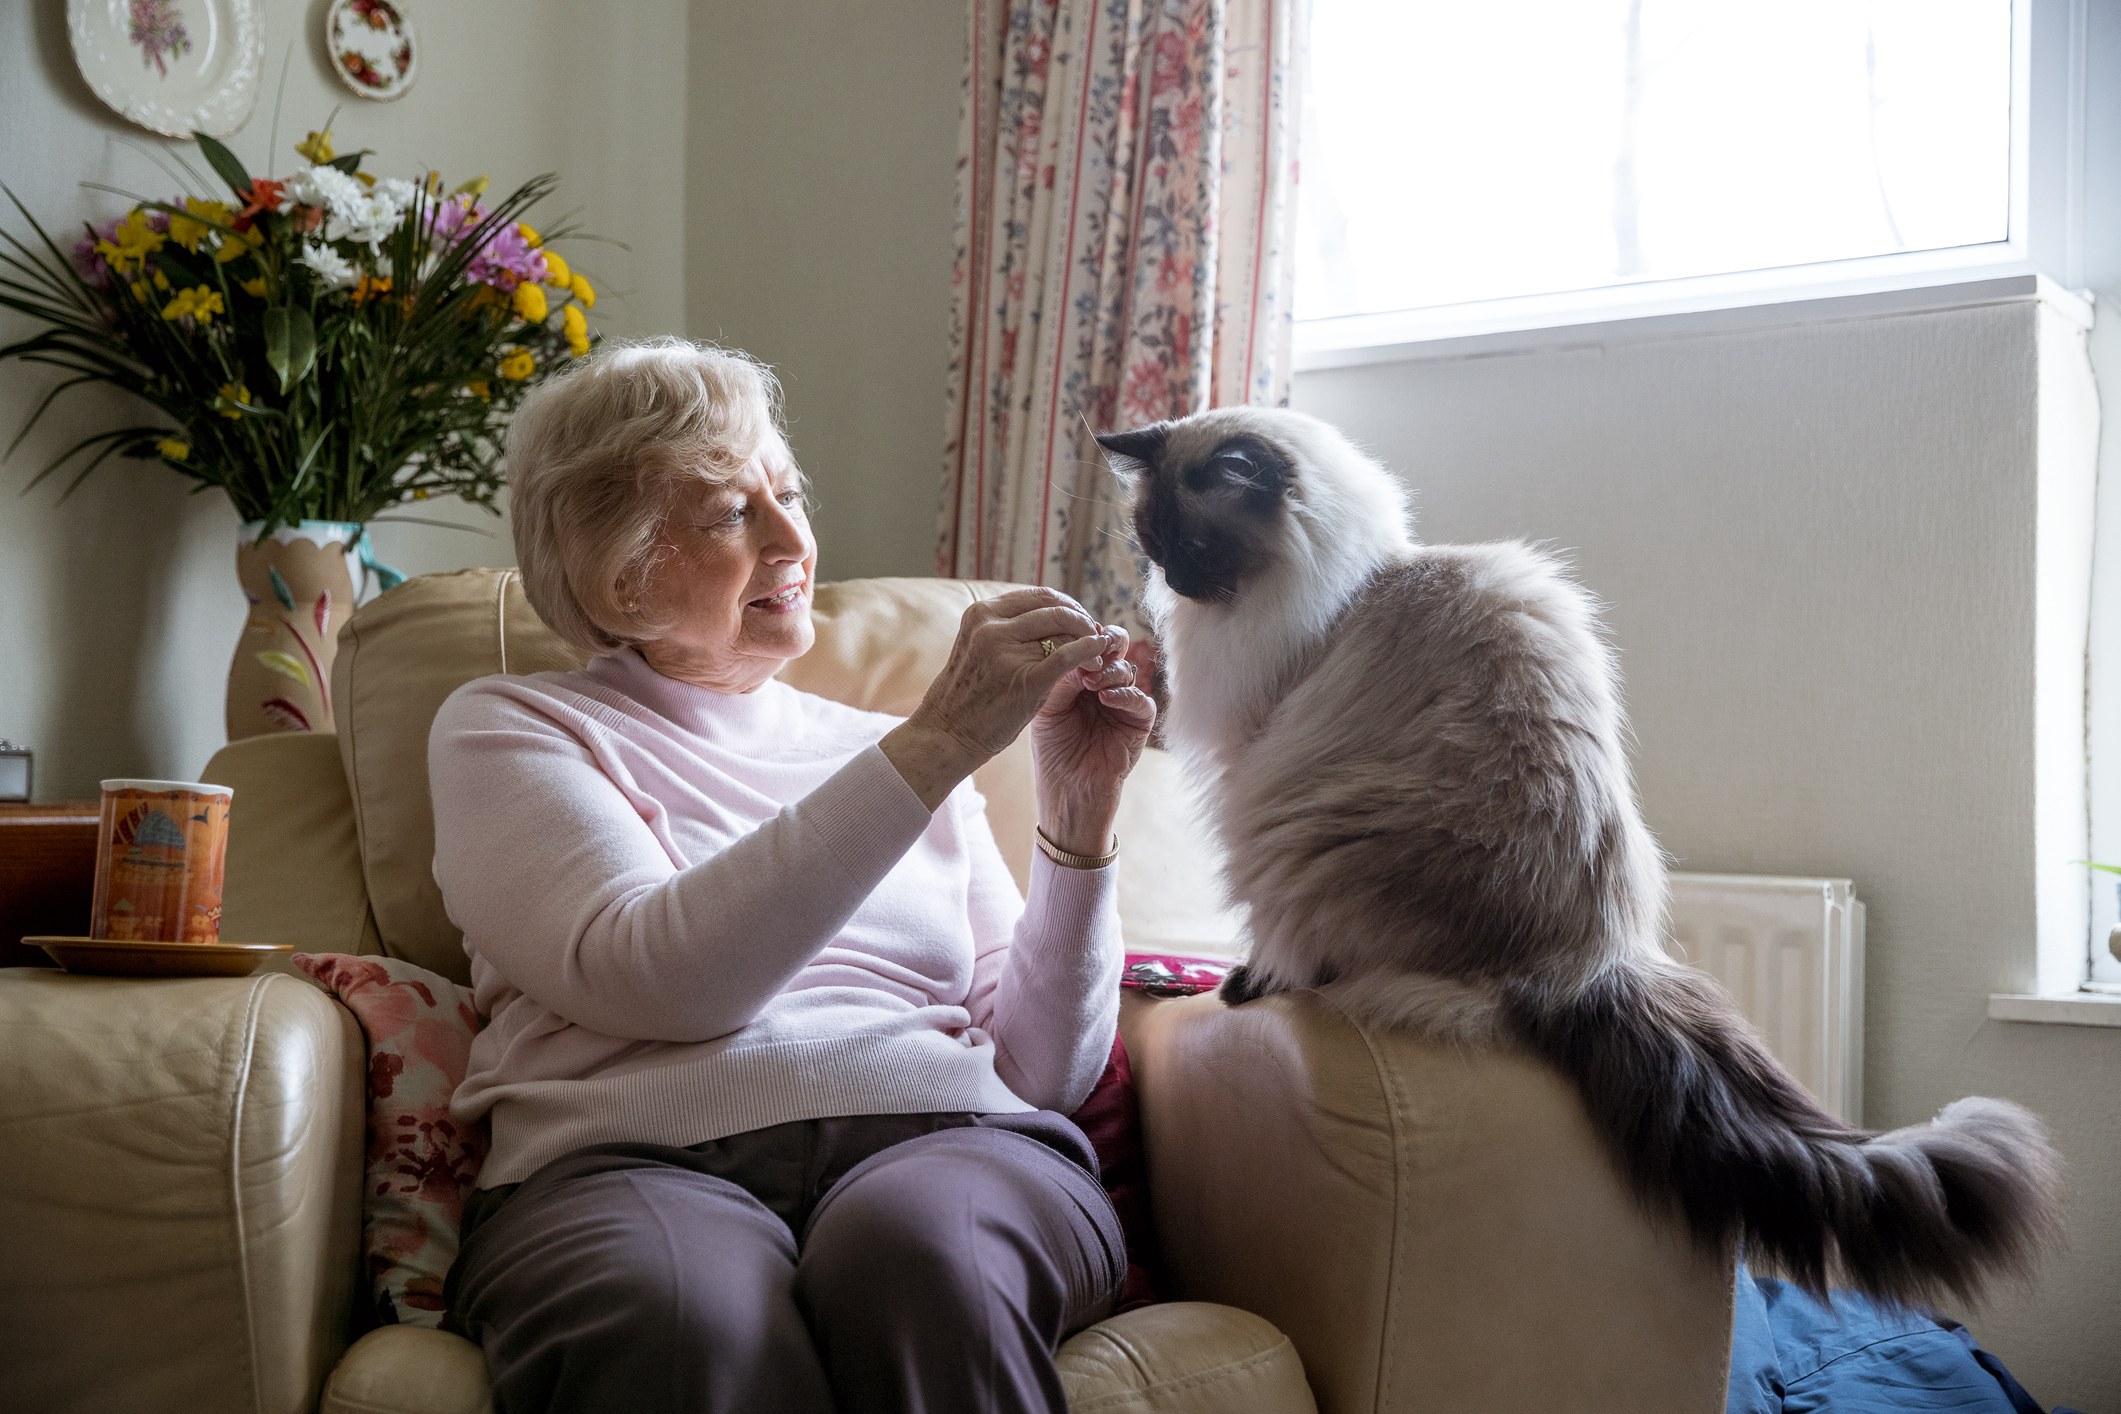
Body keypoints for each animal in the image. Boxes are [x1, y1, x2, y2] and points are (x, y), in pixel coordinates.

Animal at [1102, 407, 2061, 1305]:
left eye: (1193, 546)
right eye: (1152, 545)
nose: (1172, 583)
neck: (1352, 583)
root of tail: (1591, 964)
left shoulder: (1249, 770)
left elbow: (1265, 937)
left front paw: (1238, 979)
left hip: (1297, 845)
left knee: (1314, 955)